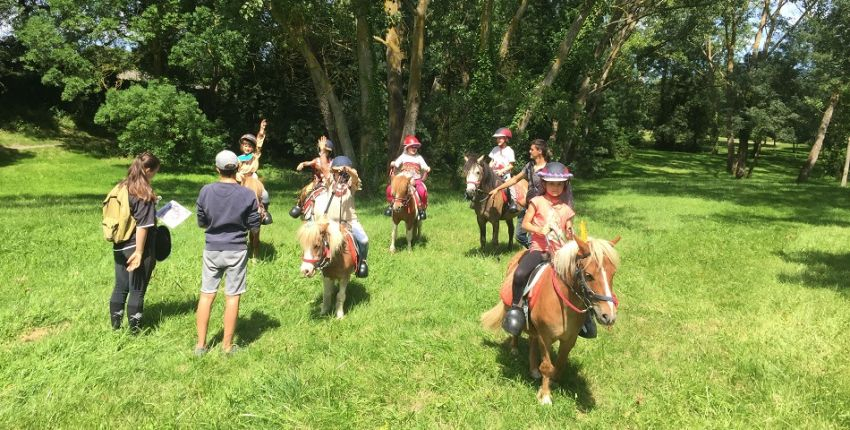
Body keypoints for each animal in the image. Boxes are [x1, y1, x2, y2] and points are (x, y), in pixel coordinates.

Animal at [480, 237, 620, 404]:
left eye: (613, 273)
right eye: (588, 275)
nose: (609, 316)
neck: (562, 304)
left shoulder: (569, 339)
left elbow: (559, 364)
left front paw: (553, 381)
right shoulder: (545, 337)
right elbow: (547, 365)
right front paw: (545, 396)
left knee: (532, 340)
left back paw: (533, 370)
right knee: (516, 331)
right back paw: (514, 348)